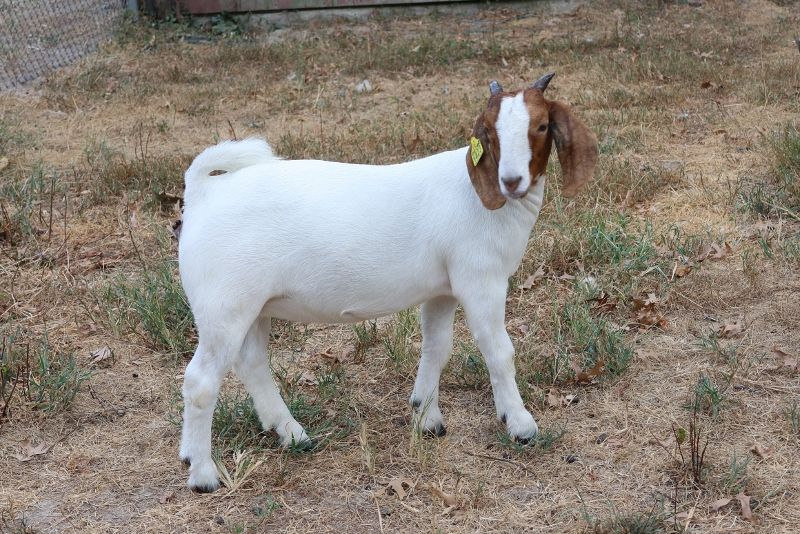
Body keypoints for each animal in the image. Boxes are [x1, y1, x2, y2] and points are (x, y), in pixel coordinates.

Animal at [178, 72, 598, 492]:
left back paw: (289, 433)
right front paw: (520, 424)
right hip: (224, 305)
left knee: (251, 363)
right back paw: (203, 474)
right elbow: (499, 351)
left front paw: (426, 417)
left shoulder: (442, 290)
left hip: (252, 306)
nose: (511, 181)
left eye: (540, 126)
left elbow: (436, 347)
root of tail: (203, 192)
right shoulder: (481, 280)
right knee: (201, 381)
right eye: (490, 133)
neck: (481, 197)